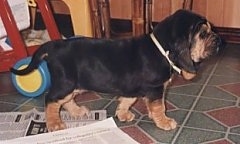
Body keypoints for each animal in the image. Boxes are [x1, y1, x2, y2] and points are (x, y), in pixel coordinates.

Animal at [11, 9, 221, 132]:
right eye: (203, 34)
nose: (220, 41)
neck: (162, 48)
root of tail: (53, 46)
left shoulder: (133, 88)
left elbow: (128, 100)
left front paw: (123, 114)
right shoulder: (155, 88)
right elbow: (159, 106)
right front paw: (163, 121)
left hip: (75, 85)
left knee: (67, 100)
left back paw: (78, 111)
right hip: (65, 83)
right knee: (51, 99)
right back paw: (54, 123)